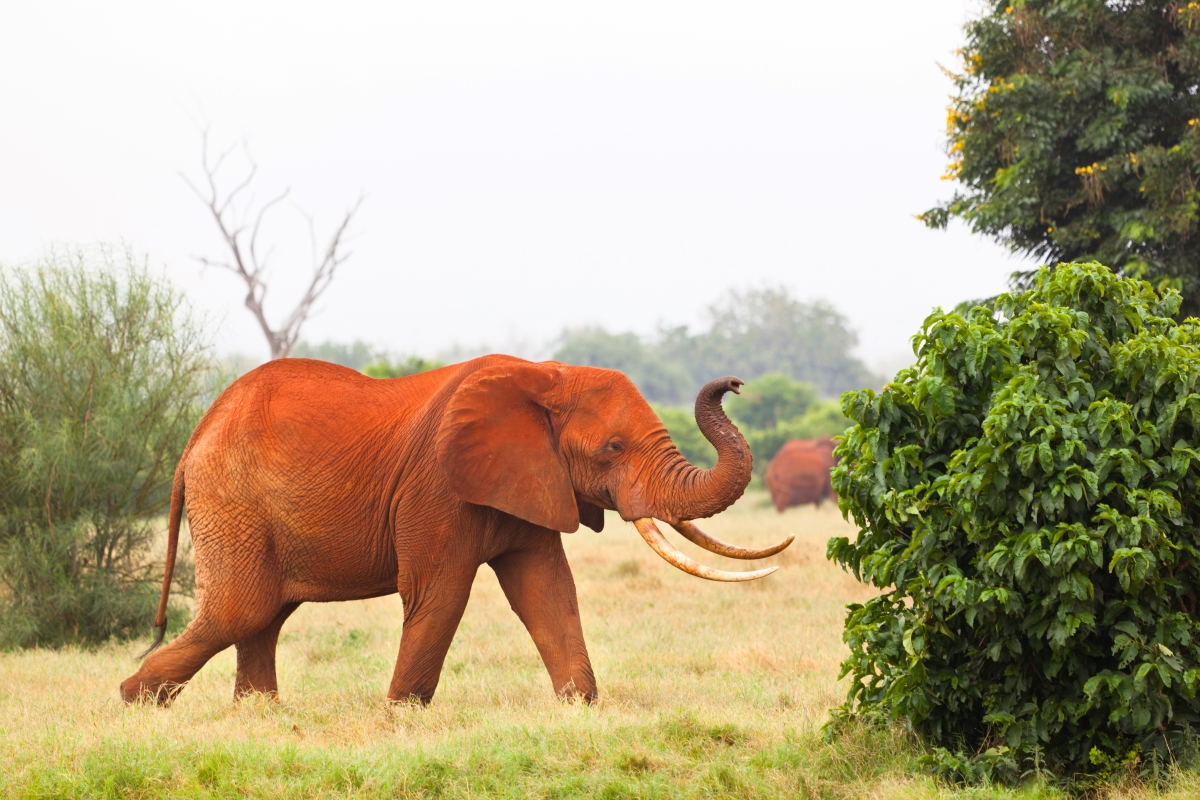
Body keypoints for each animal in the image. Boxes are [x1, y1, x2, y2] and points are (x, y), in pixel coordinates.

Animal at [119, 357, 796, 705]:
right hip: (231, 501)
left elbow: (548, 592)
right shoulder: (437, 487)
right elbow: (440, 594)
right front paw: (400, 716)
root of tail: (195, 438)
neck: (544, 375)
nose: (734, 384)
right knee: (243, 607)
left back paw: (259, 717)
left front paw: (579, 706)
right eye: (613, 447)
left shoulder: (530, 479)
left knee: (263, 614)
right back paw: (137, 701)